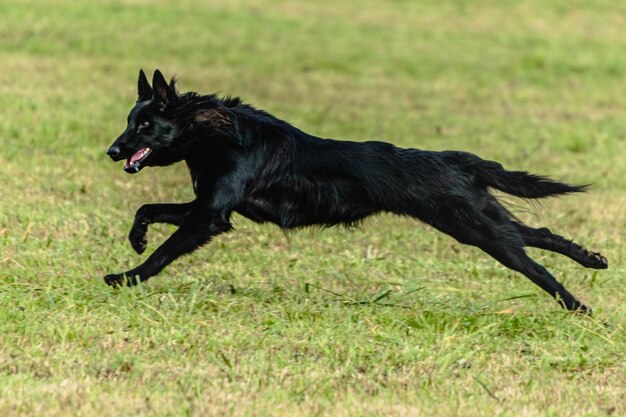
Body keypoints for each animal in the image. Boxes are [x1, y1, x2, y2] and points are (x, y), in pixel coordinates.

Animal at [106, 70, 604, 312]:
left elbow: (163, 253)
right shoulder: (207, 206)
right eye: (130, 121)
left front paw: (126, 277)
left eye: (145, 125)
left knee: (536, 264)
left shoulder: (210, 216)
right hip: (478, 220)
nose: (111, 151)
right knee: (539, 234)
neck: (214, 132)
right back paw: (592, 259)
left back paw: (578, 306)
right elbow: (147, 208)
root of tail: (453, 159)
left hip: (476, 227)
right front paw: (136, 239)